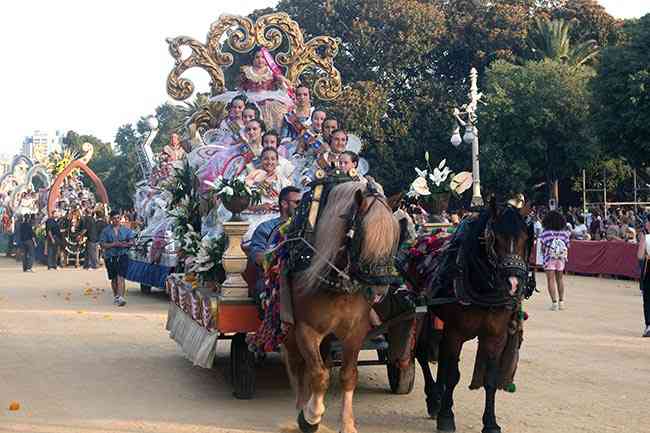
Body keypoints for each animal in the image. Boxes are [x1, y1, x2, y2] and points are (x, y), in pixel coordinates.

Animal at [280, 181, 398, 432]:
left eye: (395, 237)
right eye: (363, 236)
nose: (379, 291)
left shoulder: (355, 331)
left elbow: (347, 375)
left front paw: (347, 423)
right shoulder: (305, 329)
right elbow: (318, 375)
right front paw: (311, 416)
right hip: (288, 329)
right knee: (297, 365)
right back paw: (301, 404)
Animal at [404, 197, 532, 432]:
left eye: (526, 238)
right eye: (494, 238)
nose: (513, 284)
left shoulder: (495, 335)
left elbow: (489, 379)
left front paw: (490, 422)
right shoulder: (456, 332)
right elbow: (453, 375)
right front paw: (446, 416)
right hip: (420, 310)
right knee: (422, 353)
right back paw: (434, 399)